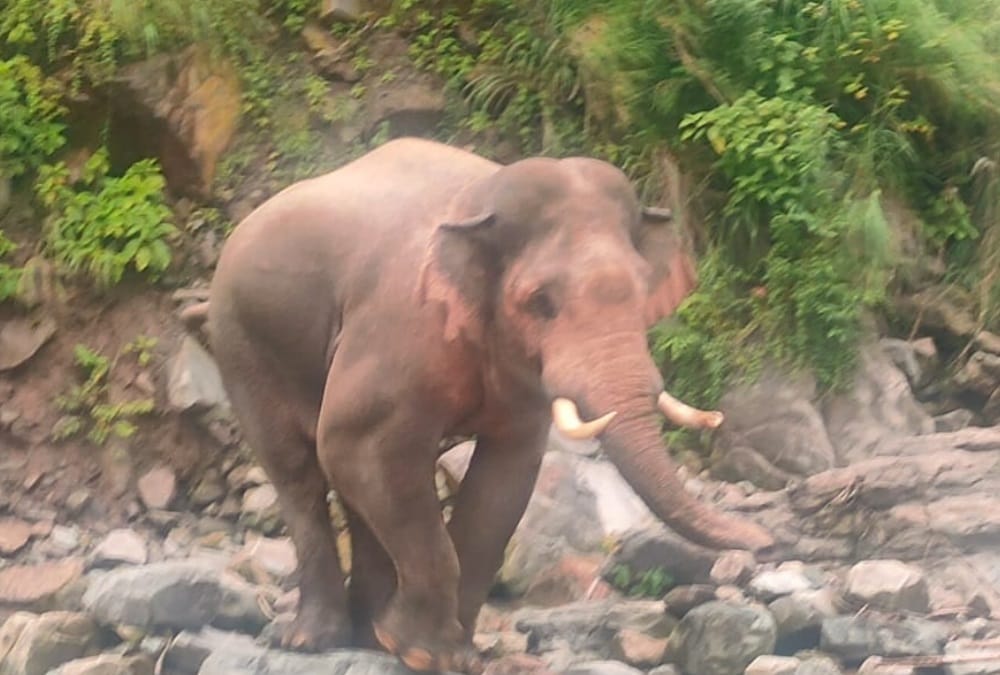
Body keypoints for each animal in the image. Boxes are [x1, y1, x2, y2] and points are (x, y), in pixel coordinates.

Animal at [192, 137, 774, 673]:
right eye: (541, 302)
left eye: (641, 290)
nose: (766, 543)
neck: (480, 202)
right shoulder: (399, 330)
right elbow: (353, 443)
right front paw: (420, 653)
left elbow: (504, 481)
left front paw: (452, 655)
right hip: (240, 340)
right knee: (300, 473)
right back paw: (316, 640)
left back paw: (365, 636)